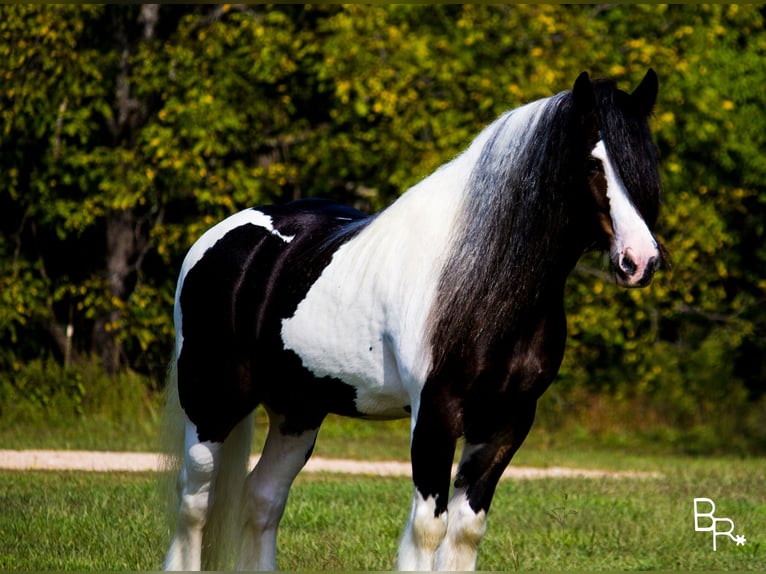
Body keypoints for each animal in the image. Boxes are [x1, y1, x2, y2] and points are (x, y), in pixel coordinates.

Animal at [160, 68, 664, 572]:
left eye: (646, 160)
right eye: (593, 163)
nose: (640, 261)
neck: (485, 284)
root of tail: (222, 236)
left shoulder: (507, 422)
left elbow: (466, 531)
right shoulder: (435, 416)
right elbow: (428, 530)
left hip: (296, 411)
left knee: (262, 498)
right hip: (211, 403)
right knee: (194, 501)